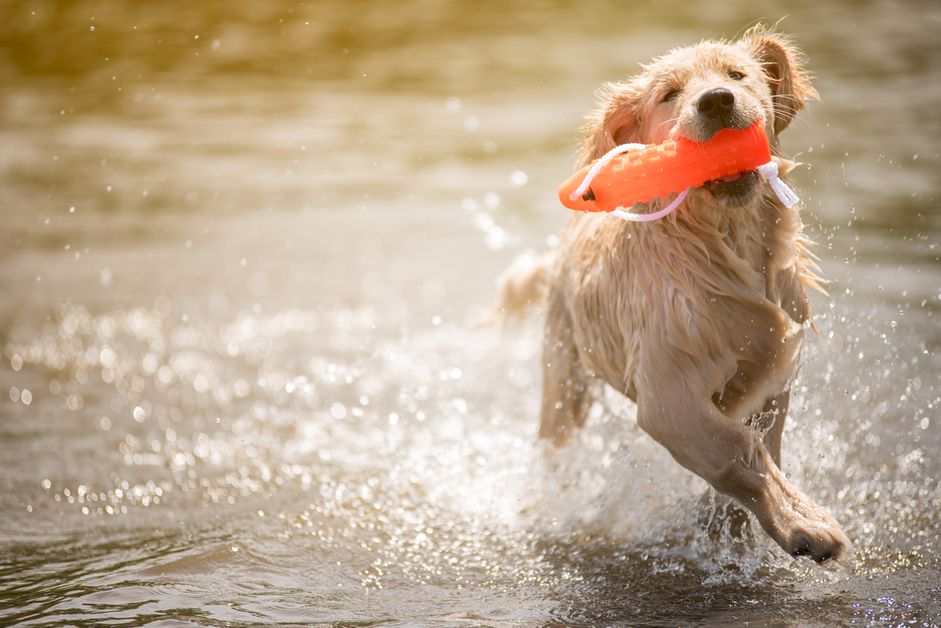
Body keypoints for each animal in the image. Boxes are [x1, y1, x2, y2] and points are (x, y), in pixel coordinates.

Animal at [496, 25, 848, 564]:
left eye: (736, 74)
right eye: (669, 94)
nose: (717, 101)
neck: (724, 245)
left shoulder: (774, 368)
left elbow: (762, 440)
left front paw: (731, 528)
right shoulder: (668, 393)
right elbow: (735, 452)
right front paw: (805, 525)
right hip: (565, 370)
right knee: (556, 435)